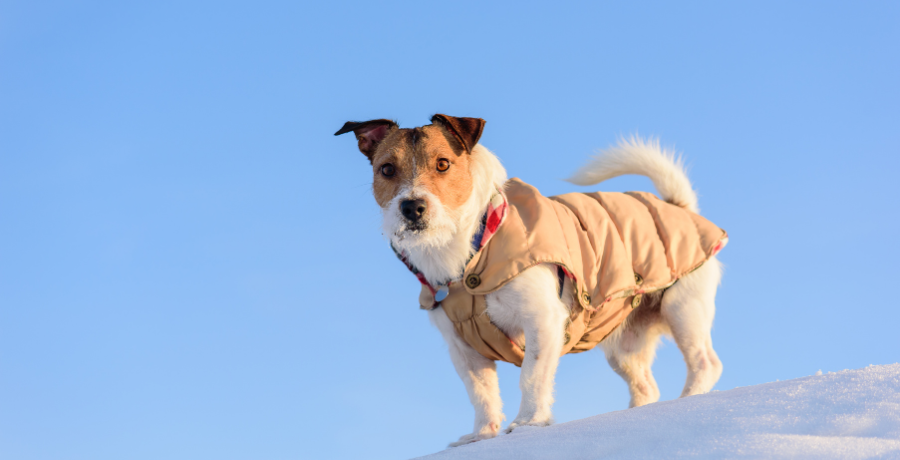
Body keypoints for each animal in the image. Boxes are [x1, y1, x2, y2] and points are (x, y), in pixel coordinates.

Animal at [336, 115, 724, 446]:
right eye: (387, 169)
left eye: (443, 164)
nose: (412, 207)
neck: (469, 252)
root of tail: (678, 206)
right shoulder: (462, 347)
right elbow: (481, 394)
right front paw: (482, 434)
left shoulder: (543, 321)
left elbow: (532, 377)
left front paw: (528, 424)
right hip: (623, 346)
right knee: (646, 387)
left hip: (683, 308)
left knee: (706, 363)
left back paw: (690, 400)